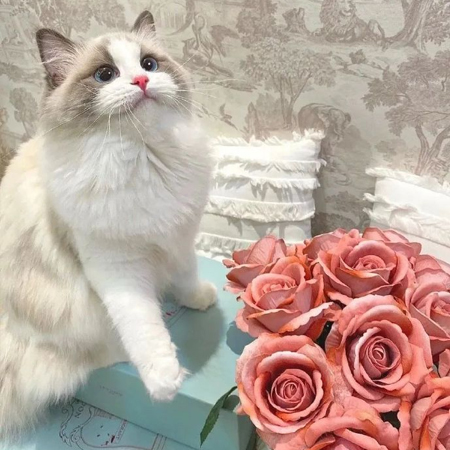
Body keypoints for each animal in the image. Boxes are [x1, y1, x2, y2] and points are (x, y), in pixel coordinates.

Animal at [0, 11, 216, 438]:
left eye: (149, 64)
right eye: (105, 75)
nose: (142, 82)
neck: (142, 156)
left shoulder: (180, 236)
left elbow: (186, 276)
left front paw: (199, 299)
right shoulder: (116, 268)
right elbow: (143, 326)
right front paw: (164, 379)